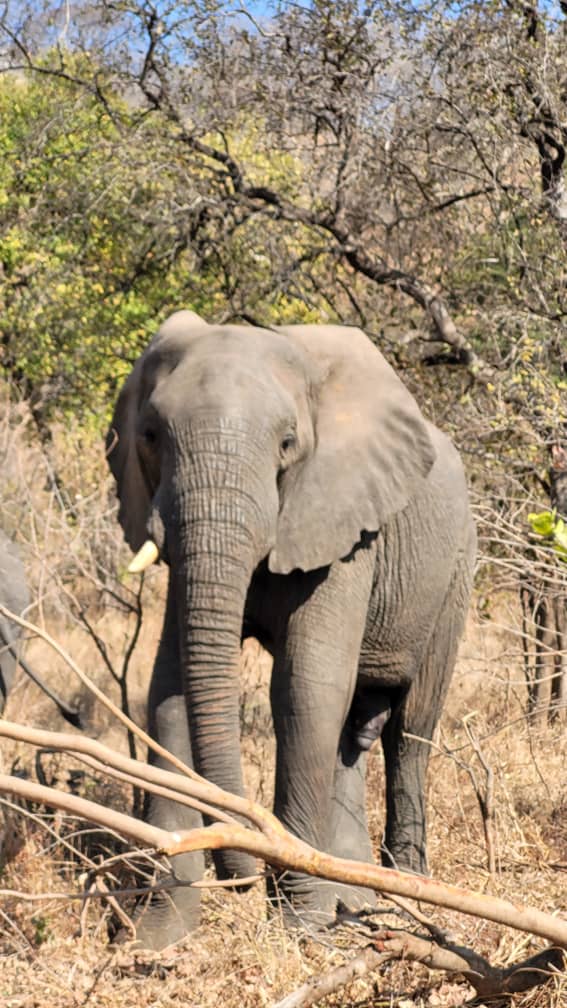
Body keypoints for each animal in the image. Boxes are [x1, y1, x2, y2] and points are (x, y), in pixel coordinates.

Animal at [106, 310, 476, 949]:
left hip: (453, 575)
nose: (241, 878)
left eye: (286, 444)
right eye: (150, 436)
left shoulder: (345, 524)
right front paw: (156, 940)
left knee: (411, 729)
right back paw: (356, 898)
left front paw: (302, 926)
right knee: (353, 733)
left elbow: (306, 688)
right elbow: (168, 691)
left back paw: (407, 895)